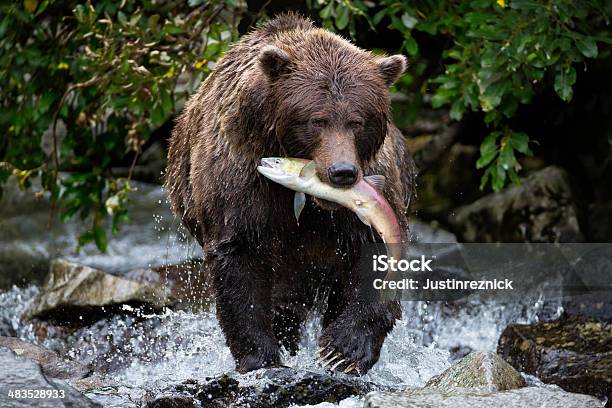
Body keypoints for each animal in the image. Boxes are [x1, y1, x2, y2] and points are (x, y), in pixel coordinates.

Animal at [166, 12, 416, 374]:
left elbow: (374, 255)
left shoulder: (372, 199)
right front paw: (260, 356)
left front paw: (342, 350)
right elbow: (240, 261)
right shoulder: (240, 181)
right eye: (317, 120)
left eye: (357, 120)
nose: (343, 172)